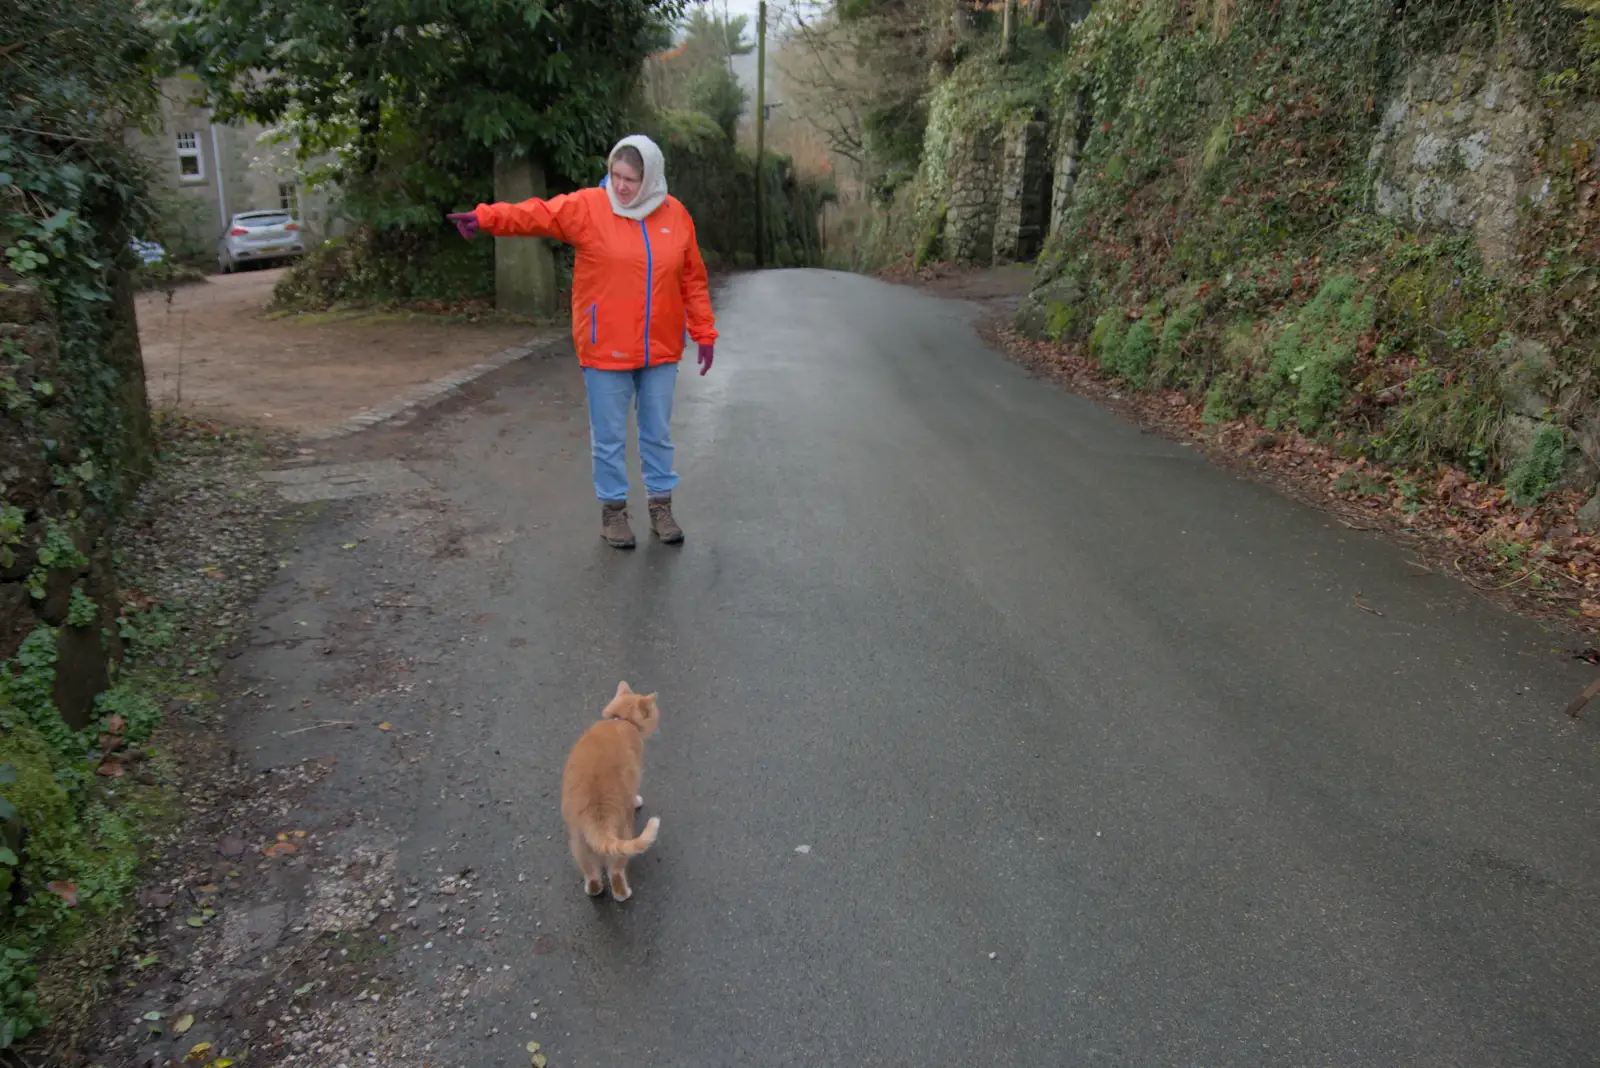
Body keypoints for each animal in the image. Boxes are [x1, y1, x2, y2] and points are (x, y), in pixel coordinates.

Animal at [563, 681, 662, 895]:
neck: (620, 720)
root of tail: (596, 814)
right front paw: (637, 801)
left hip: (579, 845)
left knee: (591, 874)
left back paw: (593, 889)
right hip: (624, 832)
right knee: (615, 872)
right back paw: (623, 893)